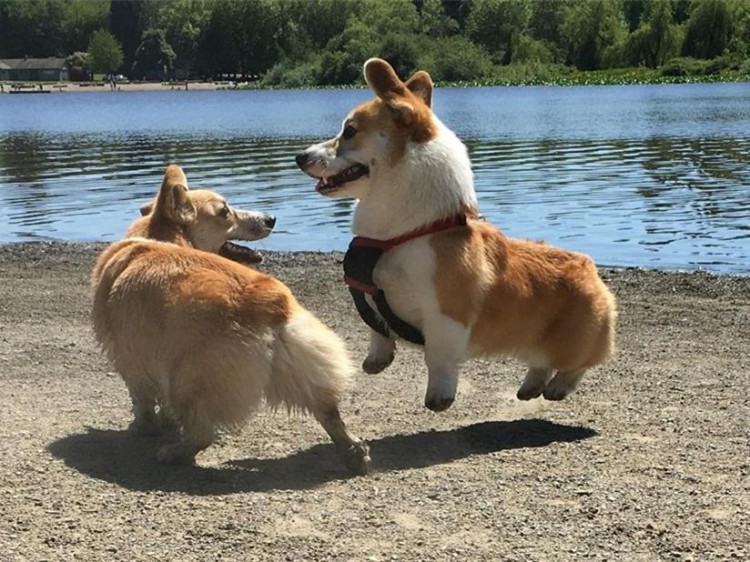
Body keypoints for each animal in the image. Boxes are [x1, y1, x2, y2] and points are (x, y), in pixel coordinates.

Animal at [92, 163, 372, 472]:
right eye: (224, 211)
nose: (271, 218)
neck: (159, 237)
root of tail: (270, 299)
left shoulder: (130, 357)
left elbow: (141, 398)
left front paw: (144, 427)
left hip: (188, 378)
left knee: (203, 433)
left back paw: (176, 453)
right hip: (301, 363)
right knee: (329, 412)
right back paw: (353, 452)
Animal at [296, 59, 620, 412]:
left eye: (350, 131)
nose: (300, 157)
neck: (403, 234)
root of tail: (590, 269)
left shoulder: (445, 318)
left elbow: (438, 360)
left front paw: (439, 398)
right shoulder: (371, 300)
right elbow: (377, 329)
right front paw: (376, 360)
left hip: (575, 343)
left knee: (580, 364)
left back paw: (557, 387)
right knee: (540, 363)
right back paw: (530, 387)